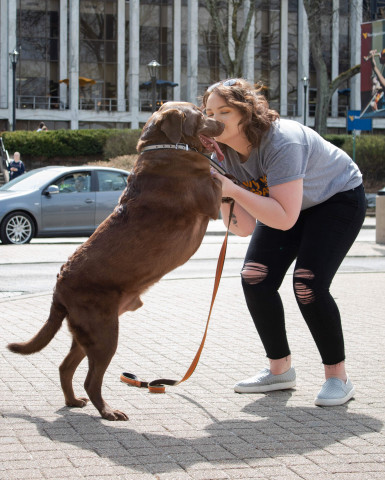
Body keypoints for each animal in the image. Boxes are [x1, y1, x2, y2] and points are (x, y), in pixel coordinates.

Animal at [8, 101, 225, 420]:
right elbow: (223, 177)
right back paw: (108, 411)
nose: (223, 124)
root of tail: (58, 287)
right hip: (104, 333)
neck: (165, 146)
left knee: (65, 367)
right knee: (90, 379)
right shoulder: (211, 197)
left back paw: (73, 401)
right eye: (201, 112)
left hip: (87, 334)